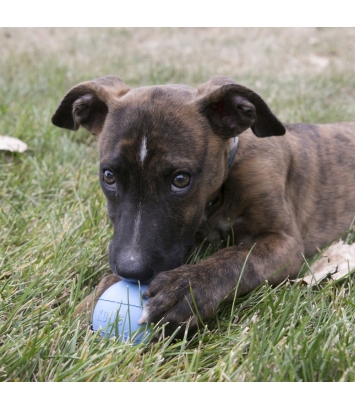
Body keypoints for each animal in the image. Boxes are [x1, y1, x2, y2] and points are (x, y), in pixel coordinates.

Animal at [52, 76, 355, 336]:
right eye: (109, 176)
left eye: (181, 179)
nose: (131, 271)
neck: (219, 194)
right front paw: (89, 303)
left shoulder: (285, 242)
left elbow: (238, 257)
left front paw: (187, 289)